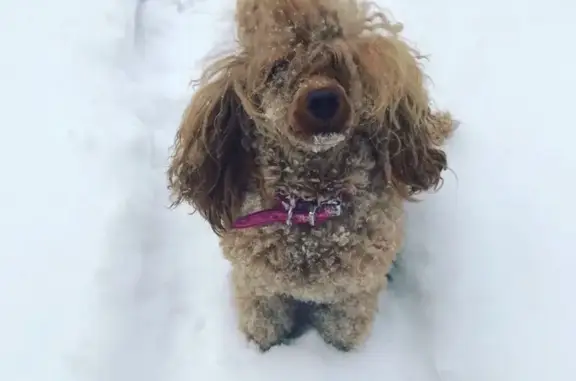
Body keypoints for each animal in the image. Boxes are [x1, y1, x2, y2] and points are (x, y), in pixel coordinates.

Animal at [166, 0, 454, 350]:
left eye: (342, 63)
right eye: (278, 68)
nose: (323, 100)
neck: (310, 206)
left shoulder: (351, 299)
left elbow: (343, 333)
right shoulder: (259, 290)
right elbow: (265, 329)